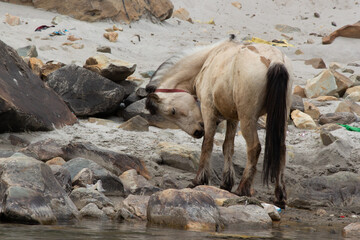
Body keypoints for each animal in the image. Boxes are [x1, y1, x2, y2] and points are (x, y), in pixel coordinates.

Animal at [145, 36, 294, 208]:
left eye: (173, 111)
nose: (197, 132)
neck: (208, 59)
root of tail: (275, 60)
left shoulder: (208, 109)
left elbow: (207, 144)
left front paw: (199, 180)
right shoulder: (232, 117)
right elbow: (228, 147)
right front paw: (226, 182)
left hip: (248, 118)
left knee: (254, 148)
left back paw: (242, 189)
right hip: (279, 117)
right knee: (281, 149)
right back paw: (279, 195)